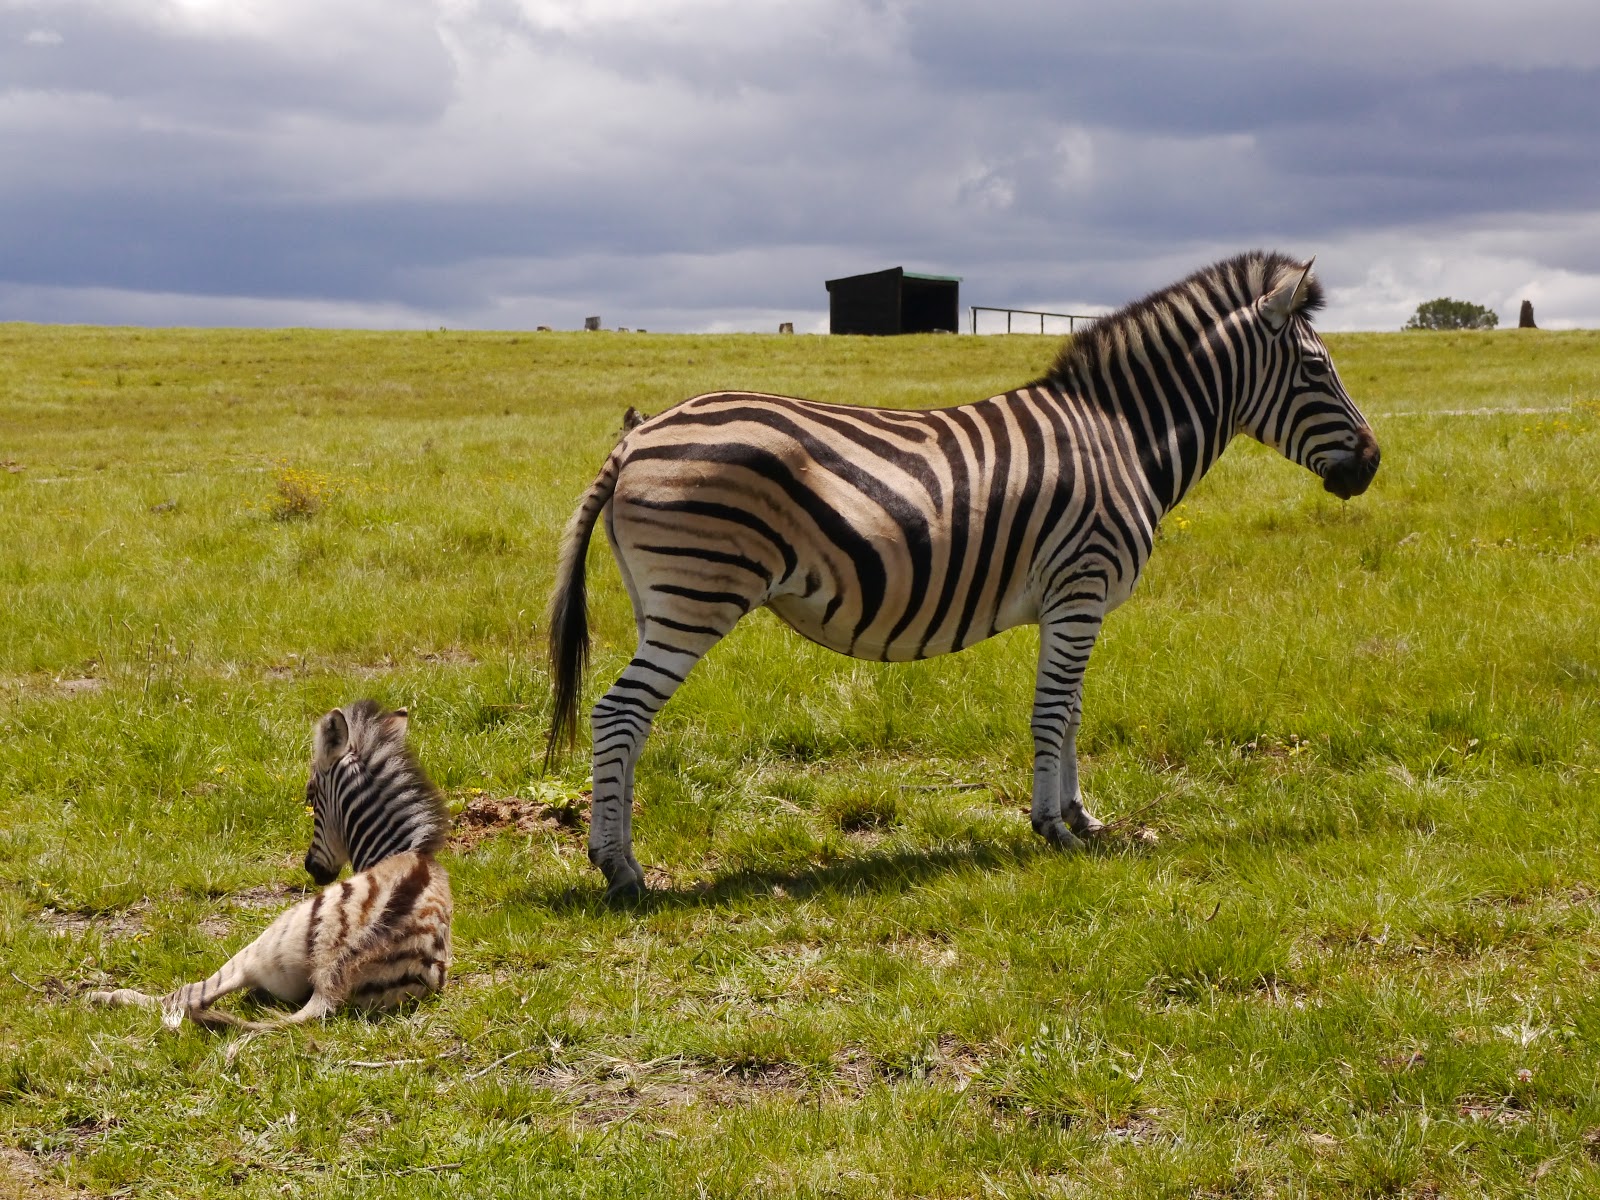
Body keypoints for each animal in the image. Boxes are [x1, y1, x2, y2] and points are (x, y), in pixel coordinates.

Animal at [89, 704, 451, 1036]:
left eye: (310, 796)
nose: (311, 868)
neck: (407, 852)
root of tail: (336, 973)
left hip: (262, 948)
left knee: (190, 997)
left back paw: (106, 998)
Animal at [547, 251, 1376, 902]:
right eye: (1316, 369)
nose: (1370, 465)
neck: (1123, 439)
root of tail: (636, 438)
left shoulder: (1075, 603)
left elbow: (1073, 715)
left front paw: (1083, 817)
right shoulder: (1081, 588)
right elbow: (1052, 713)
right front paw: (1052, 829)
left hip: (662, 600)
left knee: (627, 719)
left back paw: (613, 855)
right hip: (699, 593)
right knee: (618, 713)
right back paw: (621, 870)